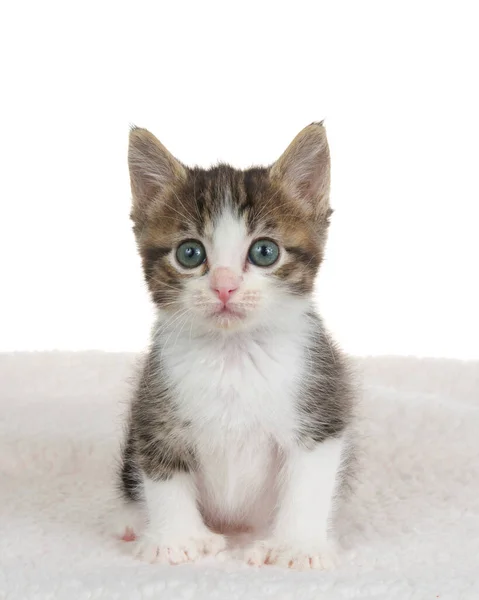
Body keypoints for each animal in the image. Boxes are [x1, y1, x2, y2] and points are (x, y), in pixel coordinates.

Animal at [117, 123, 354, 572]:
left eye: (264, 251)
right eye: (190, 253)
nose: (225, 286)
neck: (233, 353)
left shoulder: (320, 405)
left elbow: (309, 481)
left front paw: (298, 546)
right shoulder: (155, 408)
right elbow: (163, 471)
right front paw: (175, 540)